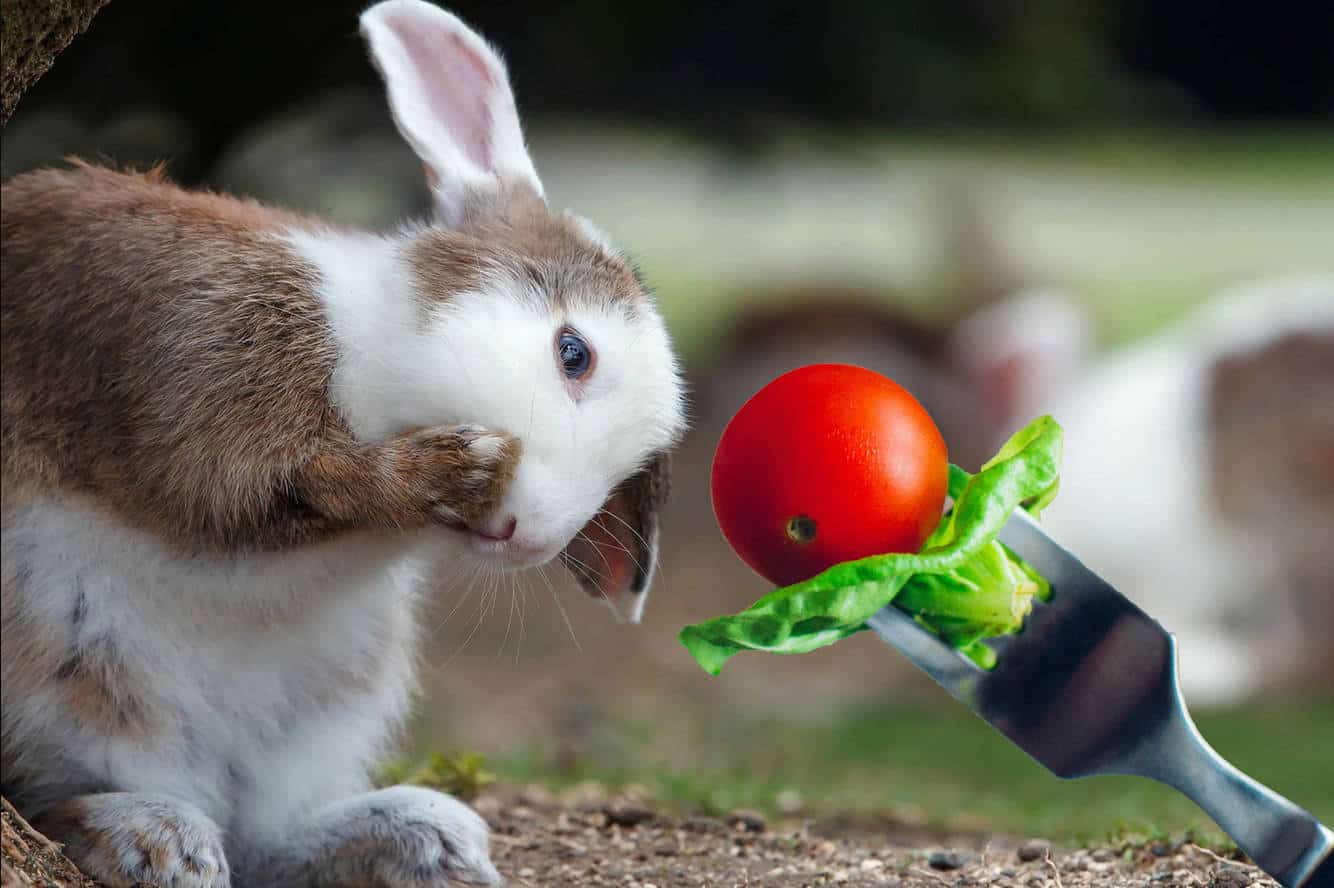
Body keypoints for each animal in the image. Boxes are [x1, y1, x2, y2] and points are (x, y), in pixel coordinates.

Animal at [0, 3, 688, 880]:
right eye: (574, 353)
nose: (524, 536)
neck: (371, 348)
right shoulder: (199, 386)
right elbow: (256, 490)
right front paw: (454, 466)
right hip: (73, 672)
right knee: (66, 795)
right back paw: (156, 840)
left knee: (265, 839)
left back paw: (430, 839)